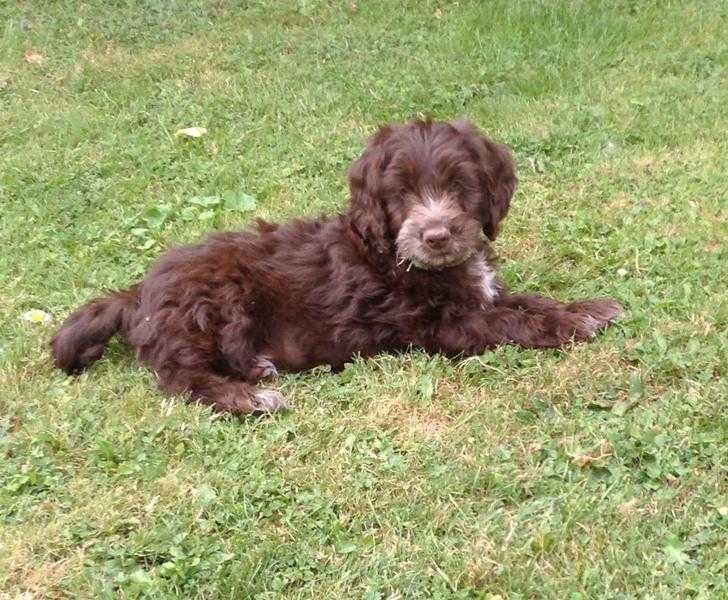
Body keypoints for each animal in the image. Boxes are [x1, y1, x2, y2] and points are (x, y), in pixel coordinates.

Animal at [51, 119, 620, 414]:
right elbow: (507, 320)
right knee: (179, 376)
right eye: (401, 194)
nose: (437, 235)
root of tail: (136, 294)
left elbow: (518, 300)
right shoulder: (438, 327)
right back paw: (251, 395)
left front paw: (586, 306)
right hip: (212, 301)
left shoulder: (478, 294)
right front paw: (572, 323)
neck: (393, 254)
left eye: (460, 186)